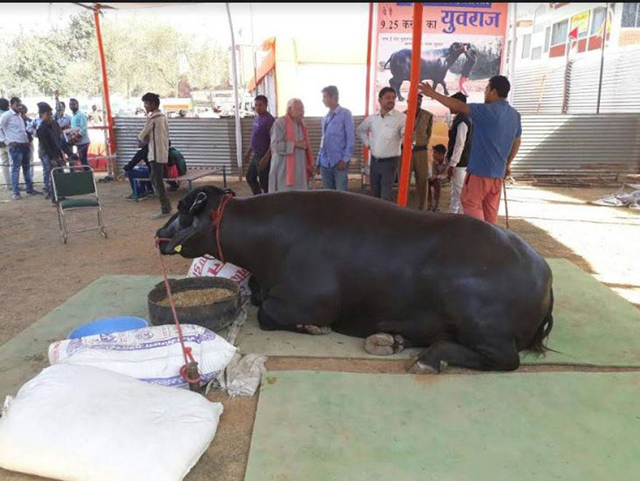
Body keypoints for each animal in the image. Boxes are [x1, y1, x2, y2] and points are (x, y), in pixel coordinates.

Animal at [158, 186, 552, 374]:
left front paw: (312, 329)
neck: (269, 245)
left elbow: (267, 314)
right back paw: (391, 338)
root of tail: (541, 270)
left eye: (184, 211)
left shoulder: (309, 301)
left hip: (480, 322)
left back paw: (429, 356)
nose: (160, 235)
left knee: (504, 359)